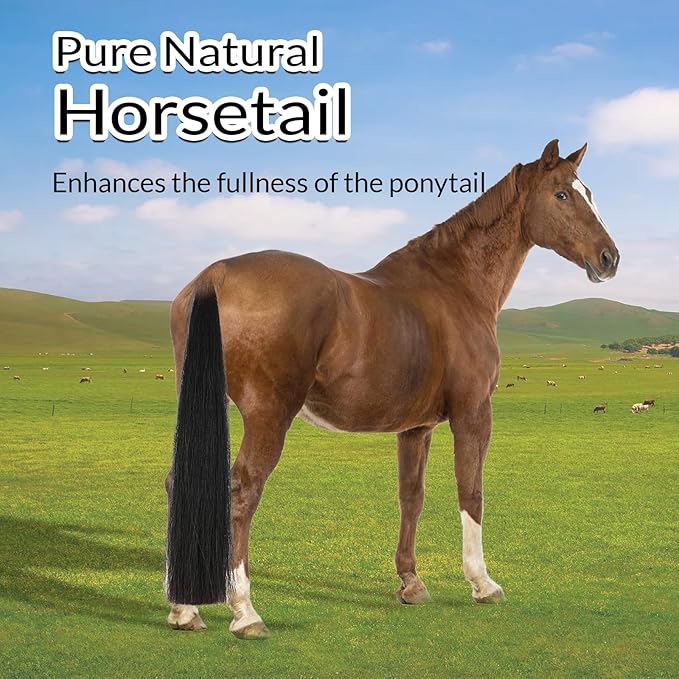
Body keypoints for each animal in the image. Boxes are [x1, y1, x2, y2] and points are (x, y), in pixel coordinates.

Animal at [164, 139, 619, 639]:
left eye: (589, 192)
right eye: (562, 194)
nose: (609, 258)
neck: (456, 284)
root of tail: (215, 276)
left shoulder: (415, 428)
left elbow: (411, 497)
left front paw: (411, 583)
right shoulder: (473, 413)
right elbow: (471, 492)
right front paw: (482, 583)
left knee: (179, 483)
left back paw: (184, 607)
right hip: (268, 415)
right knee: (242, 492)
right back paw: (245, 612)